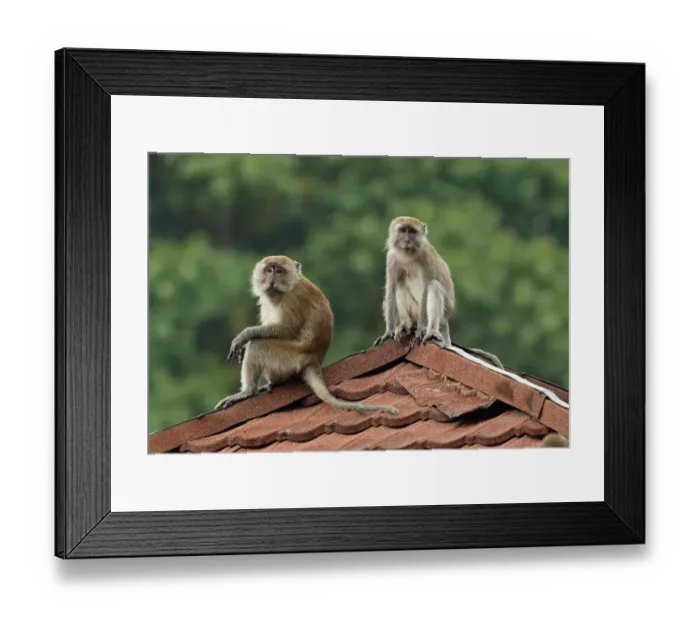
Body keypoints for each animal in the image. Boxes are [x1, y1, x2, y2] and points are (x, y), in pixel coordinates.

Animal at [214, 256, 399, 415]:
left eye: (279, 271)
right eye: (269, 270)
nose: (272, 280)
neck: (290, 286)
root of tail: (313, 359)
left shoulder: (293, 298)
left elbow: (286, 330)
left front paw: (244, 336)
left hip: (289, 359)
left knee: (259, 344)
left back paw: (248, 392)